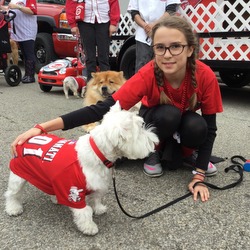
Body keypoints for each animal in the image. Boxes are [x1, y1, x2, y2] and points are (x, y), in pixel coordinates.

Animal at [4, 100, 159, 235]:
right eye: (140, 132)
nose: (156, 141)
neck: (98, 153)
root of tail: (27, 137)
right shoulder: (73, 191)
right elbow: (85, 211)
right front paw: (89, 227)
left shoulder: (97, 184)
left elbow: (96, 198)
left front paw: (99, 209)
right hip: (18, 175)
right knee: (12, 193)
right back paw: (13, 208)